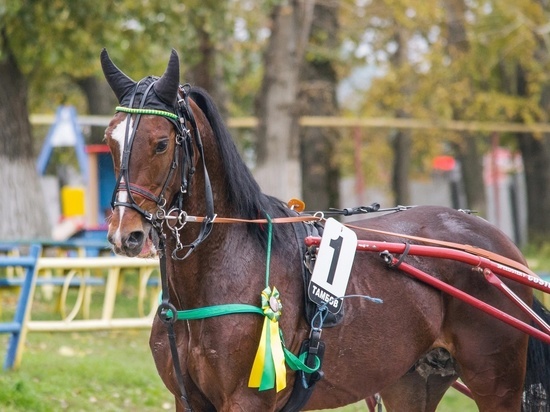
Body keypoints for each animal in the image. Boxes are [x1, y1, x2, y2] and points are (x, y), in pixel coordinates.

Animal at [100, 49, 550, 412]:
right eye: (110, 140)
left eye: (161, 143)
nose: (126, 234)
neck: (225, 266)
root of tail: (499, 246)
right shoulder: (187, 398)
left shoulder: (247, 400)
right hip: (415, 380)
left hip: (496, 381)